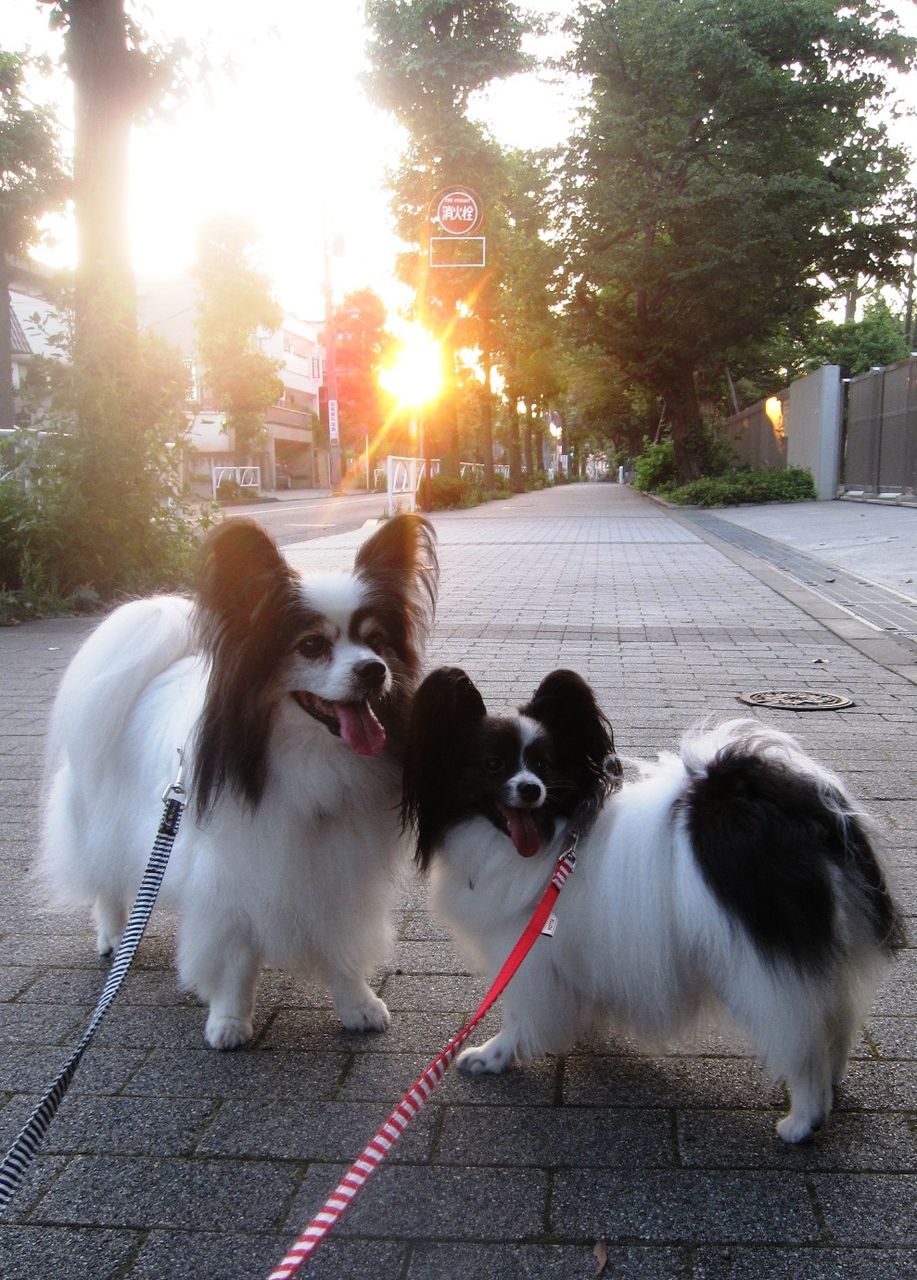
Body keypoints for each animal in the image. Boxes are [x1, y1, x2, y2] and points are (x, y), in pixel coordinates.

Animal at [39, 514, 438, 1049]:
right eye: (312, 646)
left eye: (376, 643)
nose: (374, 671)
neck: (308, 758)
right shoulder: (229, 875)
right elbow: (235, 960)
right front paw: (228, 1021)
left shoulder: (339, 868)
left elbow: (342, 945)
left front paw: (358, 1005)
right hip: (105, 817)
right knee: (105, 878)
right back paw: (113, 936)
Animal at [402, 667, 902, 1142]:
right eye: (492, 765)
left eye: (543, 764)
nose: (530, 789)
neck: (554, 841)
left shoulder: (527, 957)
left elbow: (518, 1013)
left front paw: (494, 1055)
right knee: (834, 1022)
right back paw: (830, 1085)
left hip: (759, 968)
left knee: (800, 1041)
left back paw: (803, 1120)